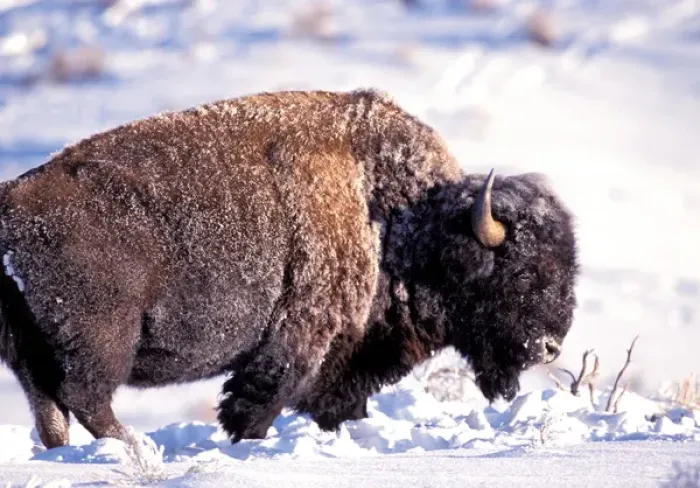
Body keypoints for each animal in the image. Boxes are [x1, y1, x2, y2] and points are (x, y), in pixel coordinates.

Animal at [0, 89, 578, 448]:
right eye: (521, 273)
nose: (550, 347)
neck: (398, 219)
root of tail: (11, 206)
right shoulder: (299, 336)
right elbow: (259, 402)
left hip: (29, 351)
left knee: (51, 413)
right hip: (102, 342)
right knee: (85, 398)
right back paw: (138, 451)